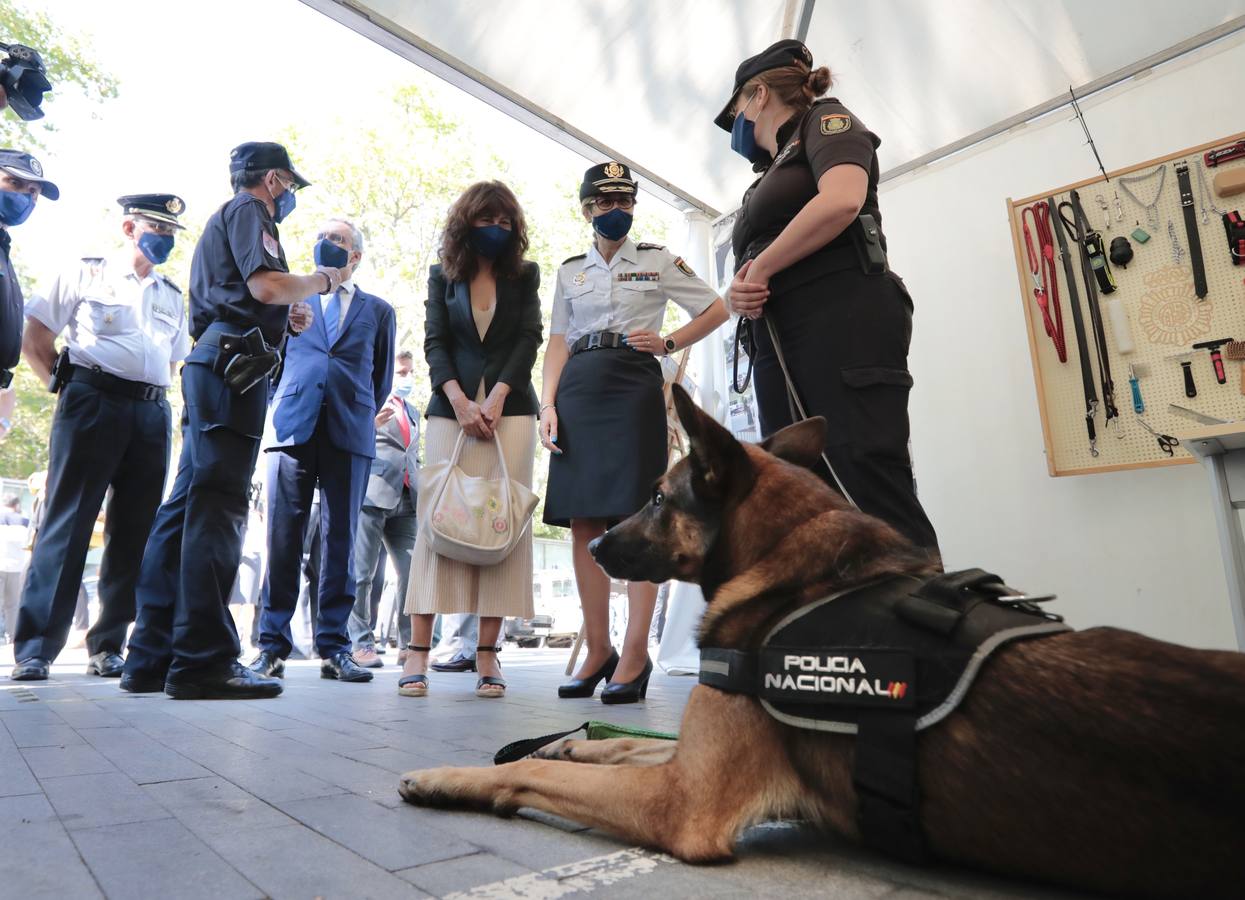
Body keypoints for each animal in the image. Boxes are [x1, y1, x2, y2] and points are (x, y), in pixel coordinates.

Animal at [405, 383, 1245, 896]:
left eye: (656, 498)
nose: (598, 544)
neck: (795, 568)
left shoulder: (683, 803)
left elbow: (547, 773)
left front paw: (451, 776)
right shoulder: (693, 760)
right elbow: (624, 748)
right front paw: (572, 744)